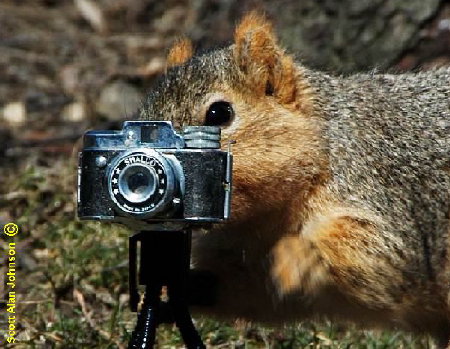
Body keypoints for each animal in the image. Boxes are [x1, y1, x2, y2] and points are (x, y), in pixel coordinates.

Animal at [140, 10, 450, 346]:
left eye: (219, 114)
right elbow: (254, 294)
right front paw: (178, 287)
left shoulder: (383, 190)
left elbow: (379, 254)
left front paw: (297, 255)